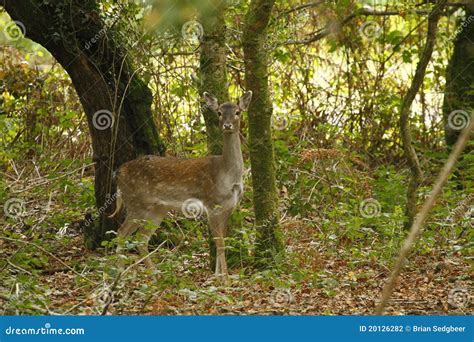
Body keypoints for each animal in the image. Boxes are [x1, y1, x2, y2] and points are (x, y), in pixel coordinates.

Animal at [110, 91, 252, 278]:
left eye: (237, 112)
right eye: (219, 112)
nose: (227, 125)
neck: (227, 175)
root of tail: (118, 173)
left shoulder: (229, 207)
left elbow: (221, 241)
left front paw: (217, 276)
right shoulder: (211, 204)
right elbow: (220, 244)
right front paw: (225, 279)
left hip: (157, 209)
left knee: (141, 238)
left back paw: (155, 275)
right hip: (136, 203)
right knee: (121, 233)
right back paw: (121, 275)